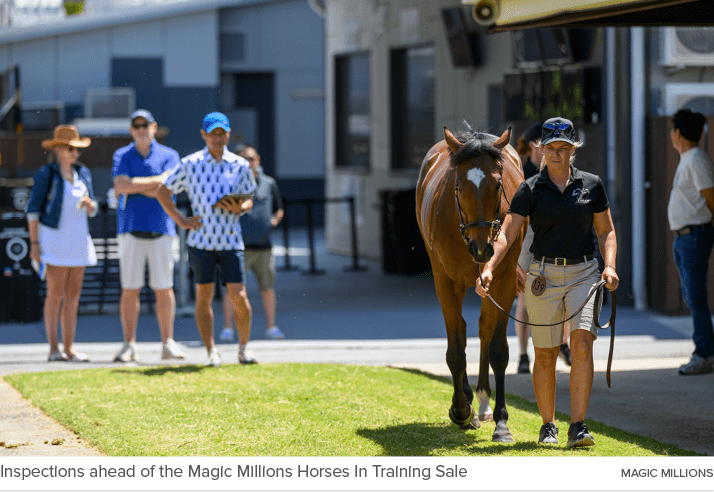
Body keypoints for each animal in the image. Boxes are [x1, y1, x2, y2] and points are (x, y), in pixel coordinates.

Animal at [414, 125, 524, 440]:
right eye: (459, 186)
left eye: (498, 185)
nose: (482, 247)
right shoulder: (445, 280)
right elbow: (455, 351)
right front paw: (461, 408)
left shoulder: (503, 279)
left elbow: (498, 348)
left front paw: (501, 422)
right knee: (462, 332)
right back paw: (469, 401)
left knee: (484, 328)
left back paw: (484, 403)